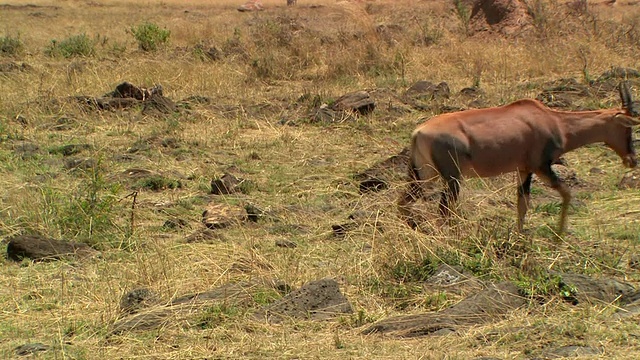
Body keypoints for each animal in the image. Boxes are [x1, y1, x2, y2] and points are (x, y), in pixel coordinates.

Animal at [400, 81, 640, 233]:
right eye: (628, 128)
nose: (632, 159)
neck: (552, 119)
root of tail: (418, 132)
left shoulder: (523, 169)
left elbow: (522, 204)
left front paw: (519, 236)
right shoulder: (541, 167)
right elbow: (567, 194)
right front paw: (558, 237)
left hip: (422, 175)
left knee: (403, 203)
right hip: (451, 179)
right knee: (443, 211)